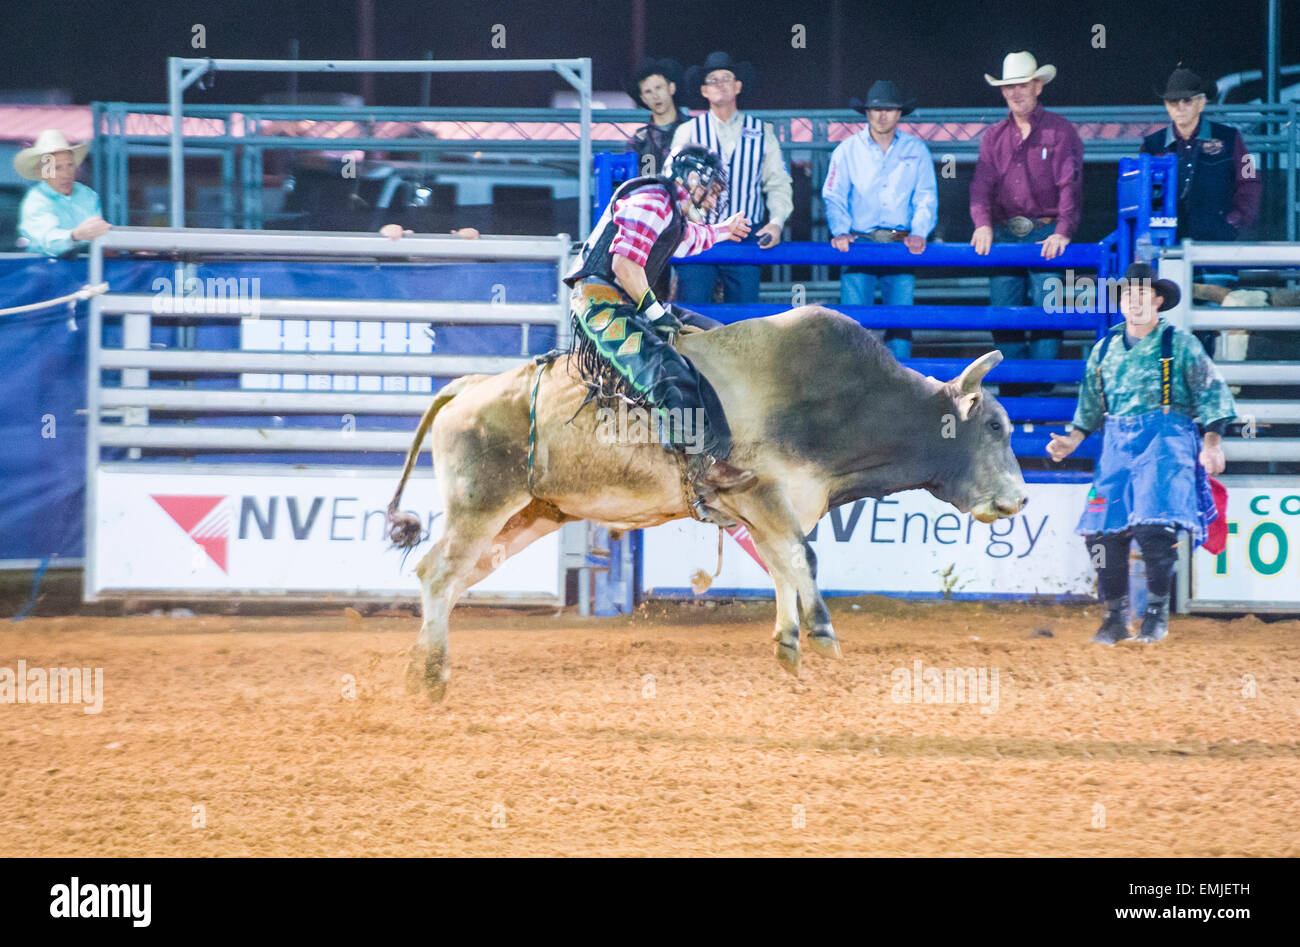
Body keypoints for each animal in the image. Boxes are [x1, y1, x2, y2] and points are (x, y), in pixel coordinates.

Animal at [386, 305, 1028, 701]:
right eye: (995, 426)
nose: (1020, 499)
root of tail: (469, 387)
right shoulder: (762, 491)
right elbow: (802, 559)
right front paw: (820, 631)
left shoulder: (767, 508)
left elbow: (783, 564)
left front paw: (788, 641)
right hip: (482, 506)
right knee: (439, 573)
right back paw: (433, 677)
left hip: (528, 514)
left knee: (449, 577)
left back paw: (421, 666)